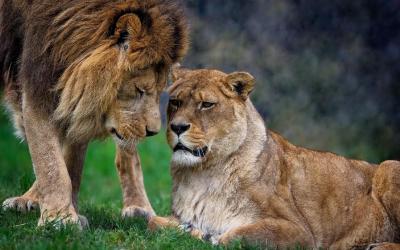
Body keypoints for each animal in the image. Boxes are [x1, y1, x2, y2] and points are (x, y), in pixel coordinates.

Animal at [0, 0, 188, 228]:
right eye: (139, 90)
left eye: (160, 91)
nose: (152, 132)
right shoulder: (41, 80)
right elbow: (50, 161)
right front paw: (60, 218)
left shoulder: (80, 98)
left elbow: (70, 164)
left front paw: (64, 215)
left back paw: (140, 209)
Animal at [149, 67, 400, 250]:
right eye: (176, 102)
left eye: (207, 104)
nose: (177, 127)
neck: (203, 172)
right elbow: (152, 222)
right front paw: (189, 231)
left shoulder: (299, 232)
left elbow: (243, 234)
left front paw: (209, 237)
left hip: (388, 167)